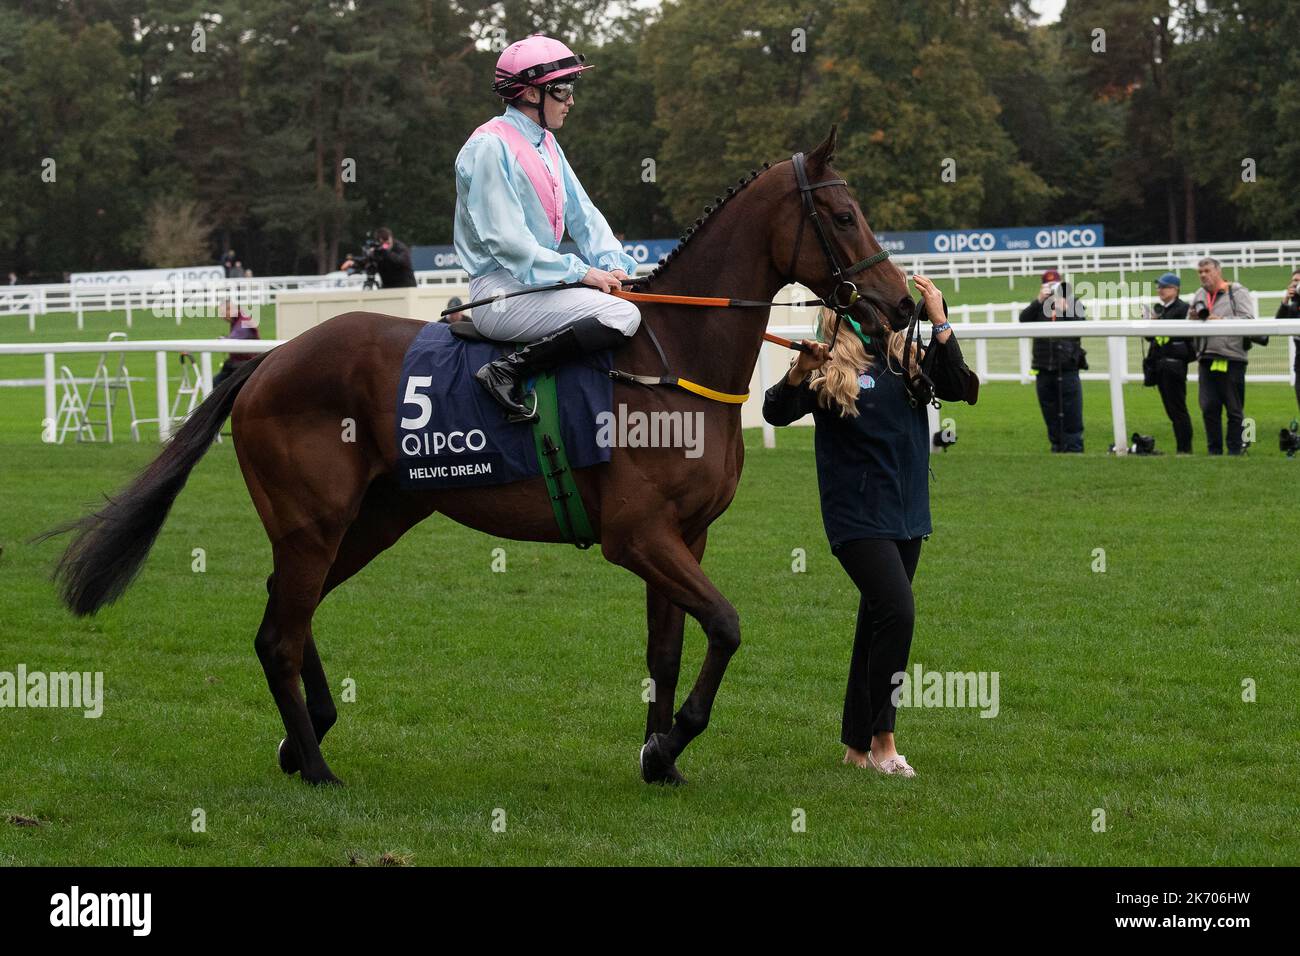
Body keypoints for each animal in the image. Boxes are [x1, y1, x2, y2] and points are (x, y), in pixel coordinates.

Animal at [48, 125, 915, 785]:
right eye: (843, 215)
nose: (902, 304)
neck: (672, 358)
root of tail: (266, 362)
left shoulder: (685, 538)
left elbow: (666, 650)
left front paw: (659, 757)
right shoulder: (636, 537)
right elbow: (728, 626)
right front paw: (670, 742)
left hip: (374, 518)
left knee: (287, 610)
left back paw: (308, 735)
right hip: (313, 522)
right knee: (279, 633)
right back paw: (319, 766)